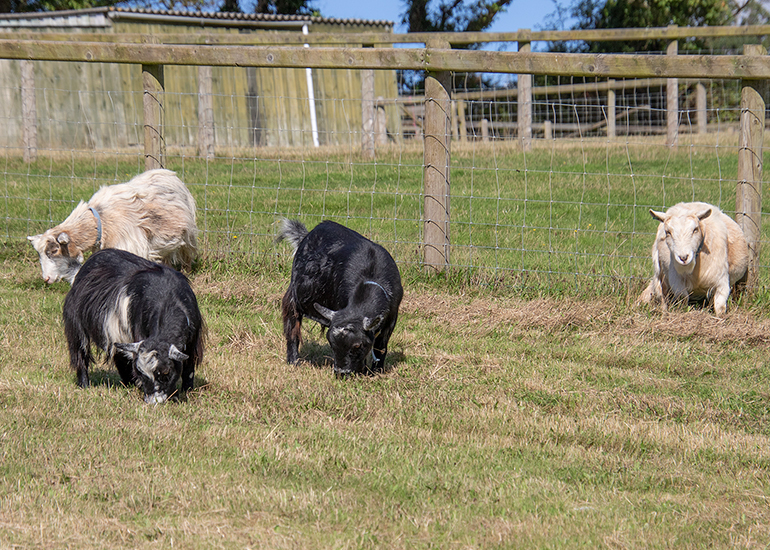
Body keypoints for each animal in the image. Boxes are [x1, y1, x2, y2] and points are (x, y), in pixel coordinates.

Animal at [28, 169, 198, 284]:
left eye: (54, 251)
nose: (46, 278)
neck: (101, 221)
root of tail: (167, 172)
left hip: (188, 236)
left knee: (187, 255)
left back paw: (187, 273)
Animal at [62, 249, 205, 404]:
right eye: (141, 373)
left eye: (166, 373)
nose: (154, 402)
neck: (168, 298)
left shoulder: (192, 343)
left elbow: (189, 369)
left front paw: (187, 391)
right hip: (77, 327)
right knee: (81, 354)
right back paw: (84, 385)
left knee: (119, 357)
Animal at [277, 219, 403, 375]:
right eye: (332, 344)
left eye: (357, 345)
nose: (341, 372)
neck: (371, 274)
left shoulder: (391, 318)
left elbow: (381, 347)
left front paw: (377, 371)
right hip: (293, 299)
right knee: (292, 326)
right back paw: (294, 361)